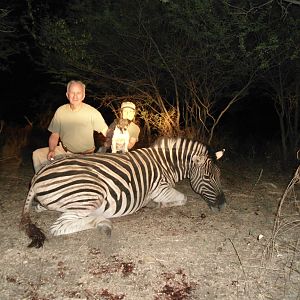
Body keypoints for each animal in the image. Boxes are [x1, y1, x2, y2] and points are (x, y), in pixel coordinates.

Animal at [19, 137, 226, 247]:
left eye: (220, 175)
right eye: (207, 177)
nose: (223, 205)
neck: (165, 164)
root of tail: (37, 176)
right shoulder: (160, 188)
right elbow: (183, 198)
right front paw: (160, 205)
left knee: (41, 209)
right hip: (90, 194)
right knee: (59, 227)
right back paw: (103, 222)